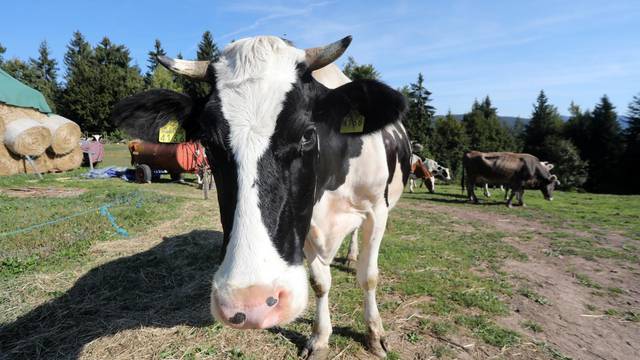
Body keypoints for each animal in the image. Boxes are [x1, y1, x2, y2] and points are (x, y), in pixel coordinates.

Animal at [110, 35, 410, 358]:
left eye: (307, 134)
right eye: (207, 142)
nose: (249, 304)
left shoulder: (377, 210)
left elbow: (369, 276)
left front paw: (375, 334)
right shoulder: (302, 227)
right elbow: (320, 282)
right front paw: (319, 337)